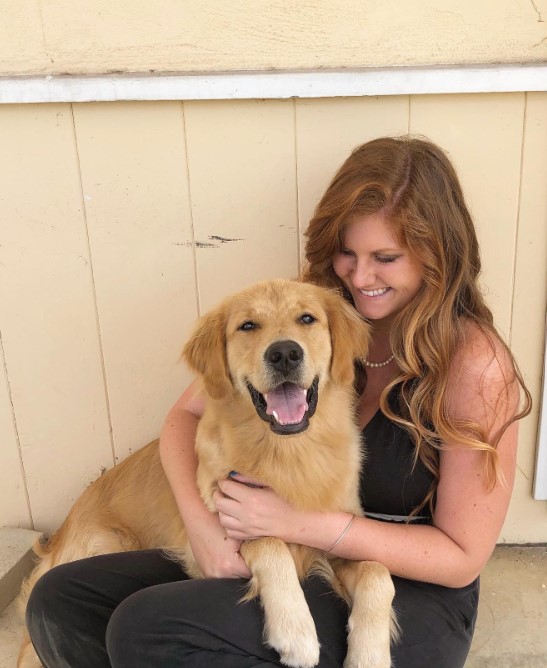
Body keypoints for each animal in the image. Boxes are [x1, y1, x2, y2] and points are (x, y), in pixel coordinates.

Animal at [17, 280, 396, 668]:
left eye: (307, 318)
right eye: (247, 326)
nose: (285, 354)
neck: (289, 452)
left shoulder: (339, 537)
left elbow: (379, 572)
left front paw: (370, 656)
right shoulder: (224, 531)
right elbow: (270, 542)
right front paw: (296, 629)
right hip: (104, 543)